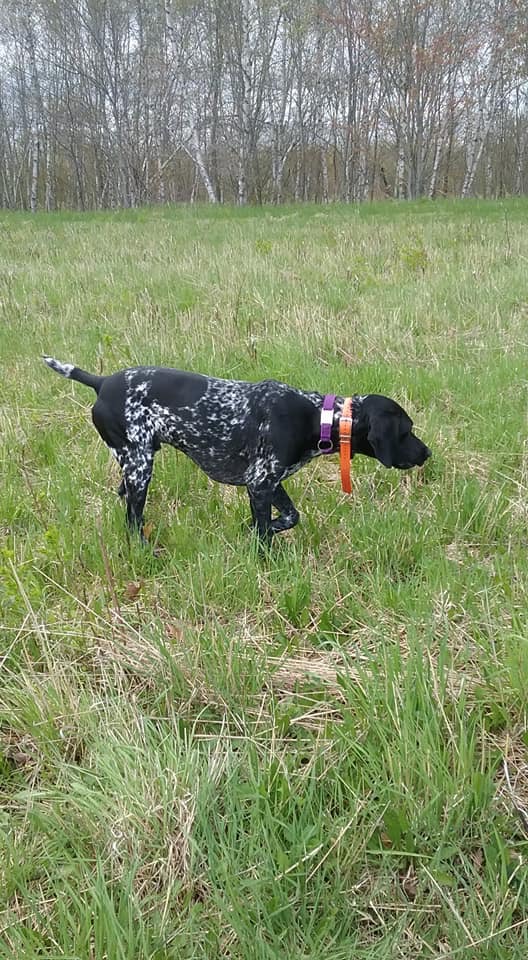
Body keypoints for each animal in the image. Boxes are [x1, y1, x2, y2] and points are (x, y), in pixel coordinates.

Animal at [43, 357, 431, 545]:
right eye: (407, 430)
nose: (427, 454)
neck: (317, 417)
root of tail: (102, 382)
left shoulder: (271, 484)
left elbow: (289, 518)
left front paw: (266, 528)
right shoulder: (260, 485)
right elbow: (263, 534)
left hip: (133, 465)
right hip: (140, 468)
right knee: (132, 520)